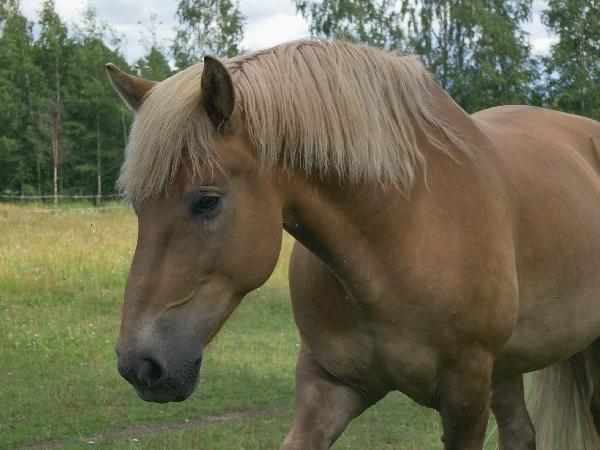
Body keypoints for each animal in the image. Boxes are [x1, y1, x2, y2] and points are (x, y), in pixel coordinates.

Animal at [106, 40, 600, 449]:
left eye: (207, 201)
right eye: (139, 206)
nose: (140, 365)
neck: (398, 236)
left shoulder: (465, 395)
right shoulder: (329, 386)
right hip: (506, 368)